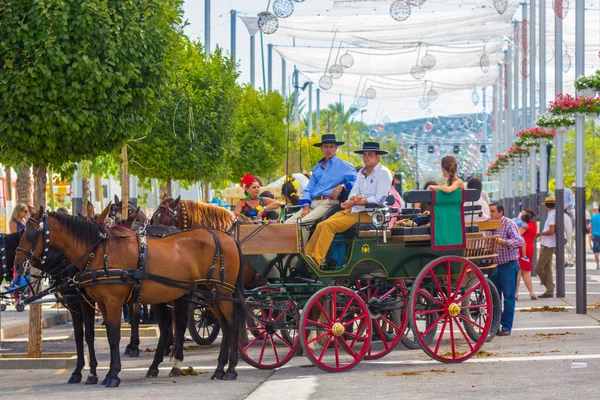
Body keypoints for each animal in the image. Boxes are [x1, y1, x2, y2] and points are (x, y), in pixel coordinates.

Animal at [16, 206, 246, 388]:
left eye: (30, 233)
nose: (17, 264)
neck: (99, 252)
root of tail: (226, 237)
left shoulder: (110, 301)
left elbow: (113, 336)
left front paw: (112, 375)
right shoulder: (96, 302)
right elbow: (92, 336)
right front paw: (93, 373)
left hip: (218, 293)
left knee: (230, 323)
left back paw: (230, 369)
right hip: (207, 294)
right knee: (217, 325)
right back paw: (216, 369)